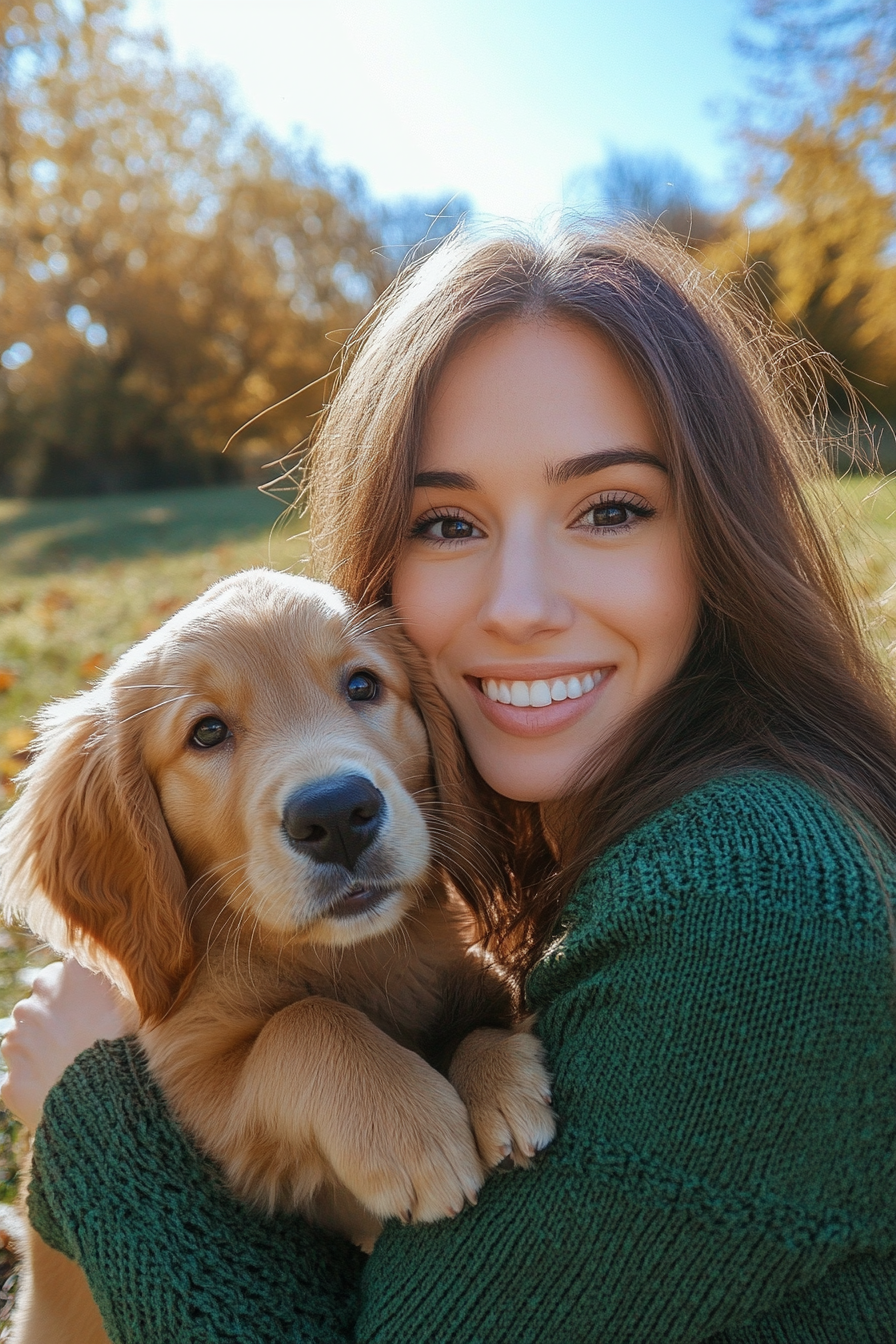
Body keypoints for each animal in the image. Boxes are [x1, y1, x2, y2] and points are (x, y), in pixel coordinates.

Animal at [0, 569, 556, 1344]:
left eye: (362, 685)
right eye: (207, 732)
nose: (337, 814)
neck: (349, 958)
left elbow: (485, 1002)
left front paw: (498, 1078)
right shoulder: (200, 1095)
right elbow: (303, 1025)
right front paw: (413, 1128)